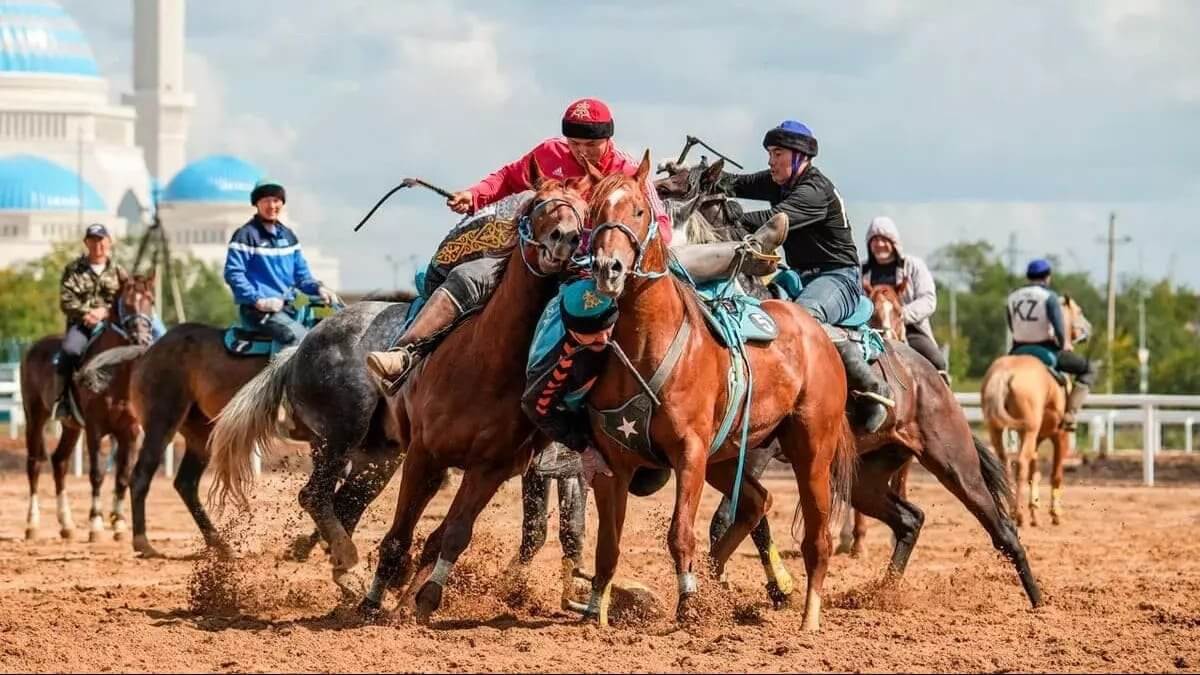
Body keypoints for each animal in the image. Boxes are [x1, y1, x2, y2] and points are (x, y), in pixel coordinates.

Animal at [19, 270, 158, 538]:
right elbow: (97, 473)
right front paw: (96, 523)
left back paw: (67, 524)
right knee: (34, 463)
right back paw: (32, 524)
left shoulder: (131, 433)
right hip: (34, 417)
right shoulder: (95, 429)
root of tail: (33, 348)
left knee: (59, 461)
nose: (142, 337)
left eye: (151, 301)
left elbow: (123, 476)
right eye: (125, 303)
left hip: (71, 427)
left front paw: (120, 523)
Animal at [212, 164, 595, 619]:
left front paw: (422, 598)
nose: (565, 238)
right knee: (315, 496)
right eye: (538, 205)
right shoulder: (425, 455)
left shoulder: (492, 468)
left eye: (585, 211)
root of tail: (300, 347)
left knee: (344, 506)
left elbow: (457, 534)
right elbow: (400, 537)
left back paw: (349, 576)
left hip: (377, 457)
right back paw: (353, 571)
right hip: (341, 434)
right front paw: (381, 598)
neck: (488, 357)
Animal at [585, 149, 859, 629]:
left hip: (810, 450)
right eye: (597, 210)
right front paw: (595, 612)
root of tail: (818, 333)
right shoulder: (613, 461)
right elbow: (607, 545)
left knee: (817, 539)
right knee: (756, 503)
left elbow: (680, 533)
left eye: (638, 211)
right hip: (730, 457)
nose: (608, 268)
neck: (650, 341)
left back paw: (808, 619)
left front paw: (688, 604)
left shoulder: (690, 453)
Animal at [657, 159, 1041, 612]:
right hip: (868, 480)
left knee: (1001, 528)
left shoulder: (755, 454)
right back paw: (882, 593)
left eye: (677, 187)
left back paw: (1038, 601)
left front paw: (763, 589)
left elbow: (729, 519)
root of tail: (930, 379)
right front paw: (767, 589)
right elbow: (749, 520)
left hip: (954, 463)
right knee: (910, 519)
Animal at [979, 294, 1094, 526]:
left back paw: (1011, 511)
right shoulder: (1059, 436)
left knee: (1005, 463)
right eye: (1078, 311)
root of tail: (1005, 373)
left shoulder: (1036, 438)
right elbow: (1055, 474)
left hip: (998, 429)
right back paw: (1018, 515)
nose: (1088, 329)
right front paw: (1054, 513)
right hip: (1030, 430)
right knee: (1021, 463)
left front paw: (1035, 511)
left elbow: (1035, 472)